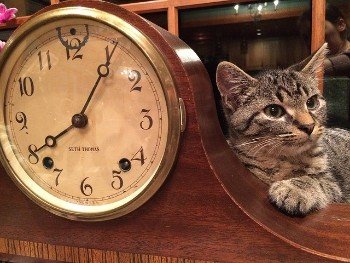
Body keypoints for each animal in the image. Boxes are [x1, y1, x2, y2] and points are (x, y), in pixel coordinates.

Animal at [216, 43, 350, 217]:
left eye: (311, 103)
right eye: (274, 111)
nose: (309, 126)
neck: (284, 161)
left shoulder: (335, 184)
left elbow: (318, 179)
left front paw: (295, 188)